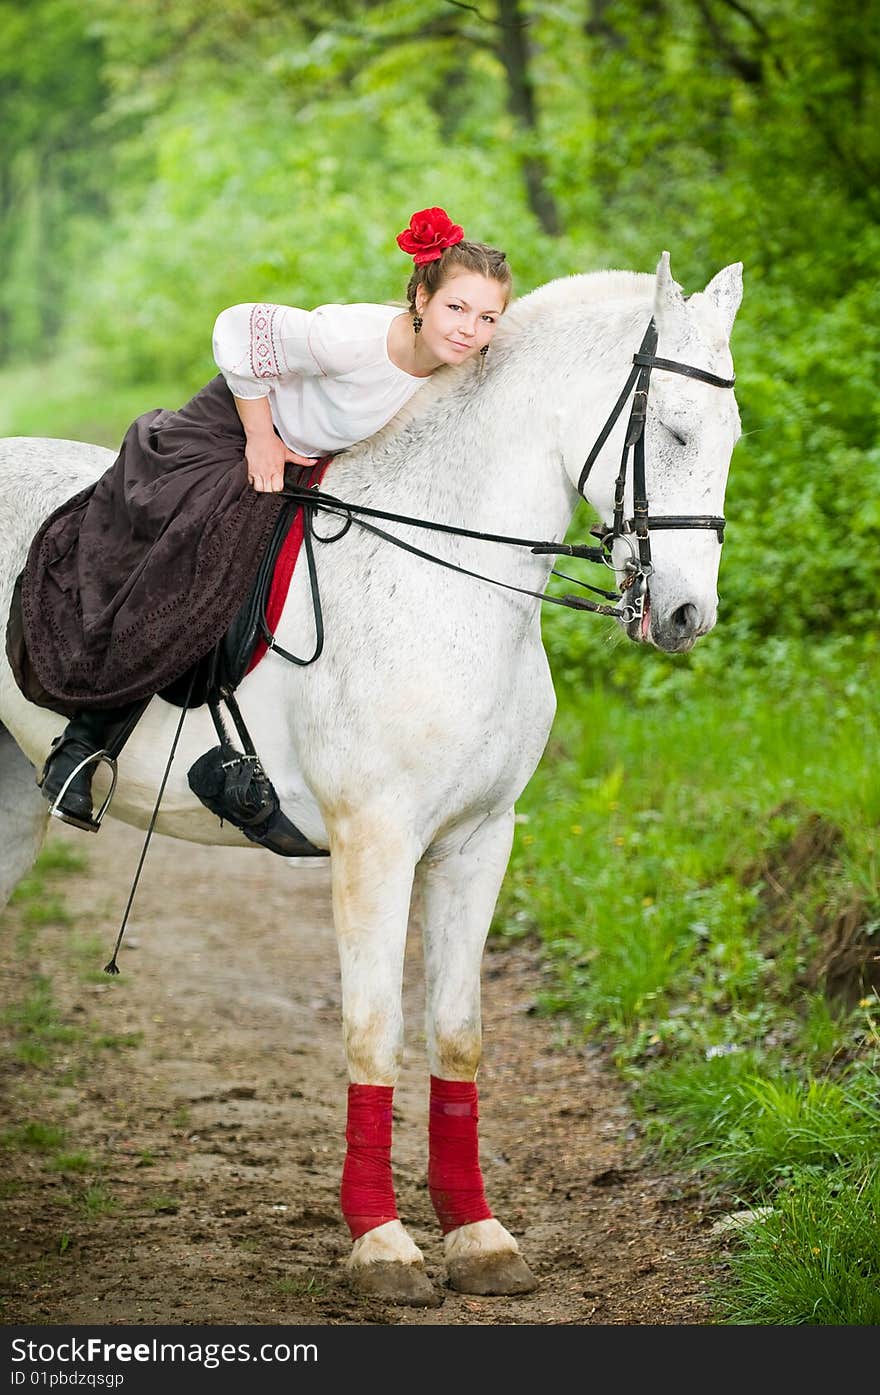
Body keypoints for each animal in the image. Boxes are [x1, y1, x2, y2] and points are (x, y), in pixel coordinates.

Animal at [0, 253, 741, 1305]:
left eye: (732, 436)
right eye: (675, 430)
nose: (684, 615)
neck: (456, 576)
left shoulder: (478, 842)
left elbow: (457, 1032)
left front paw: (478, 1236)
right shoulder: (375, 841)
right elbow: (373, 1029)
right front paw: (382, 1242)